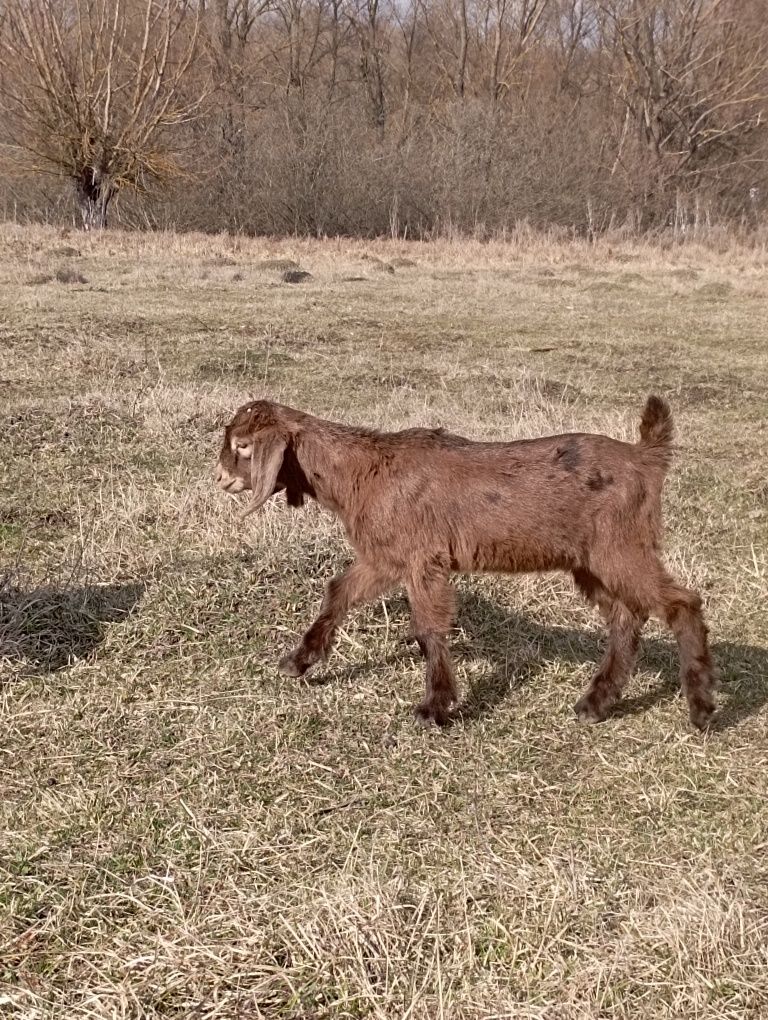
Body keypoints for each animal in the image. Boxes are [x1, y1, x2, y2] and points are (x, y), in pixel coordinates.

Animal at [214, 393, 713, 730]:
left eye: (242, 446)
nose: (220, 478)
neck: (363, 471)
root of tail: (645, 458)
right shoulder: (384, 557)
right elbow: (338, 593)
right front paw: (299, 661)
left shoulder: (423, 559)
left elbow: (430, 627)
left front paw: (435, 706)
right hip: (591, 560)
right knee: (626, 616)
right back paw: (596, 702)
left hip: (620, 546)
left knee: (681, 603)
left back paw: (701, 707)